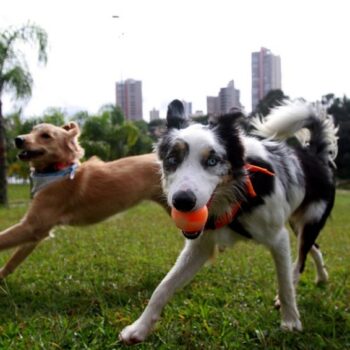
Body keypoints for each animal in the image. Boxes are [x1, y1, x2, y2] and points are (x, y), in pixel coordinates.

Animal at [0, 122, 166, 278]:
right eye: (32, 130)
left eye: (46, 136)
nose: (18, 139)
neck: (57, 170)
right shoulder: (38, 230)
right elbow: (13, 261)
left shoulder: (33, 226)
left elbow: (2, 239)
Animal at [119, 99, 338, 344]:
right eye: (172, 160)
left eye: (213, 161)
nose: (182, 202)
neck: (236, 193)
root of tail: (315, 155)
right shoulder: (200, 246)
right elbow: (163, 287)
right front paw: (139, 328)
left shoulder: (277, 237)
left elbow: (284, 284)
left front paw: (290, 321)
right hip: (296, 222)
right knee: (313, 248)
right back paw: (322, 277)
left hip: (310, 221)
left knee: (300, 260)